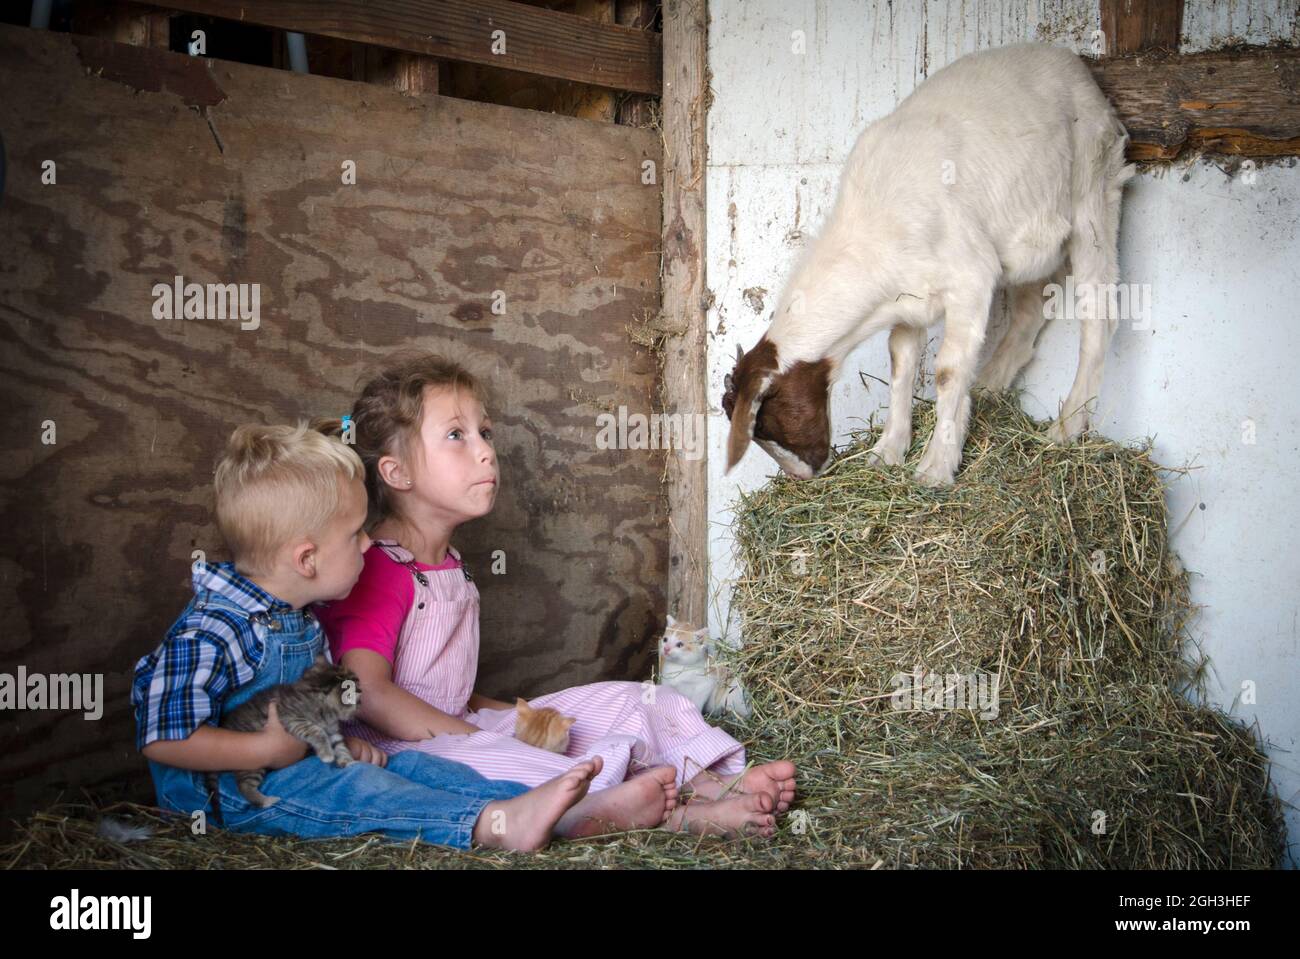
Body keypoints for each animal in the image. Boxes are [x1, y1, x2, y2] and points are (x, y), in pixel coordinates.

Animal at [206, 649, 361, 816]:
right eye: (357, 693)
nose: (362, 693)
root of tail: (225, 724)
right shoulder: (292, 719)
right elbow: (317, 731)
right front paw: (327, 755)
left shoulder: (332, 730)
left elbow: (340, 745)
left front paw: (348, 761)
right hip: (253, 759)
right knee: (244, 785)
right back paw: (265, 801)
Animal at [722, 42, 1138, 485]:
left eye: (768, 421)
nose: (805, 474)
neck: (873, 224)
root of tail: (1072, 62)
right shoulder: (907, 303)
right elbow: (901, 365)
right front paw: (887, 451)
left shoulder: (971, 277)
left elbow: (948, 371)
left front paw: (937, 466)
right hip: (1031, 235)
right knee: (1030, 310)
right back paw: (989, 387)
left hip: (1095, 192)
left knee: (1099, 314)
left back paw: (1067, 426)